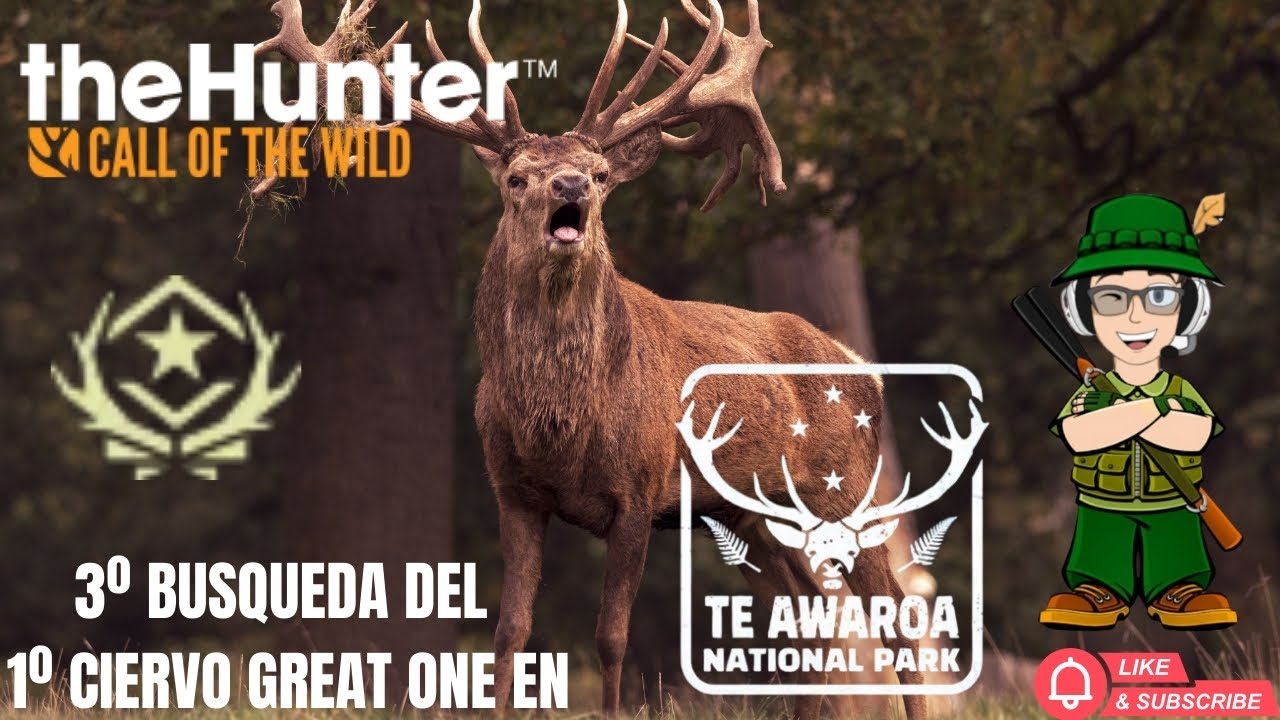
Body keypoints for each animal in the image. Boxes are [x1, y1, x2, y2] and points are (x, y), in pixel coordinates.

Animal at [253, 0, 977, 717]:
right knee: (808, 615)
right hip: (755, 515)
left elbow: (611, 635)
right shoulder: (512, 492)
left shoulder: (639, 491)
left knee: (893, 611)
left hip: (846, 484)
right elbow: (510, 628)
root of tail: (862, 367)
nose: (571, 185)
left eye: (601, 175)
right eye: (516, 178)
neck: (561, 428)